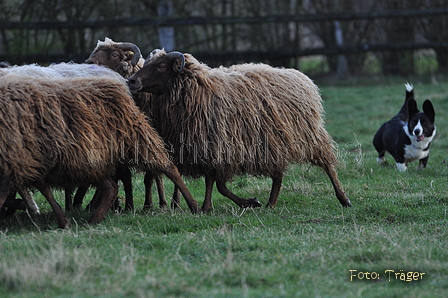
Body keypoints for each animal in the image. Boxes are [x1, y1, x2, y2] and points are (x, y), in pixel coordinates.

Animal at [0, 72, 198, 228]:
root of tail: (116, 84)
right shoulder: (26, 160)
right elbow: (38, 187)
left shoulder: (17, 160)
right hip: (88, 159)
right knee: (111, 187)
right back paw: (92, 218)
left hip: (136, 138)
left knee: (169, 167)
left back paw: (194, 205)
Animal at [128, 49, 352, 212]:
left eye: (161, 66)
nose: (132, 81)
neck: (199, 90)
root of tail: (301, 77)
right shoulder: (206, 147)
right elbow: (217, 183)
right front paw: (239, 203)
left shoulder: (218, 144)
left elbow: (216, 183)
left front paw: (216, 206)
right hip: (274, 141)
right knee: (278, 176)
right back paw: (271, 203)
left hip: (307, 133)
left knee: (327, 165)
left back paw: (343, 198)